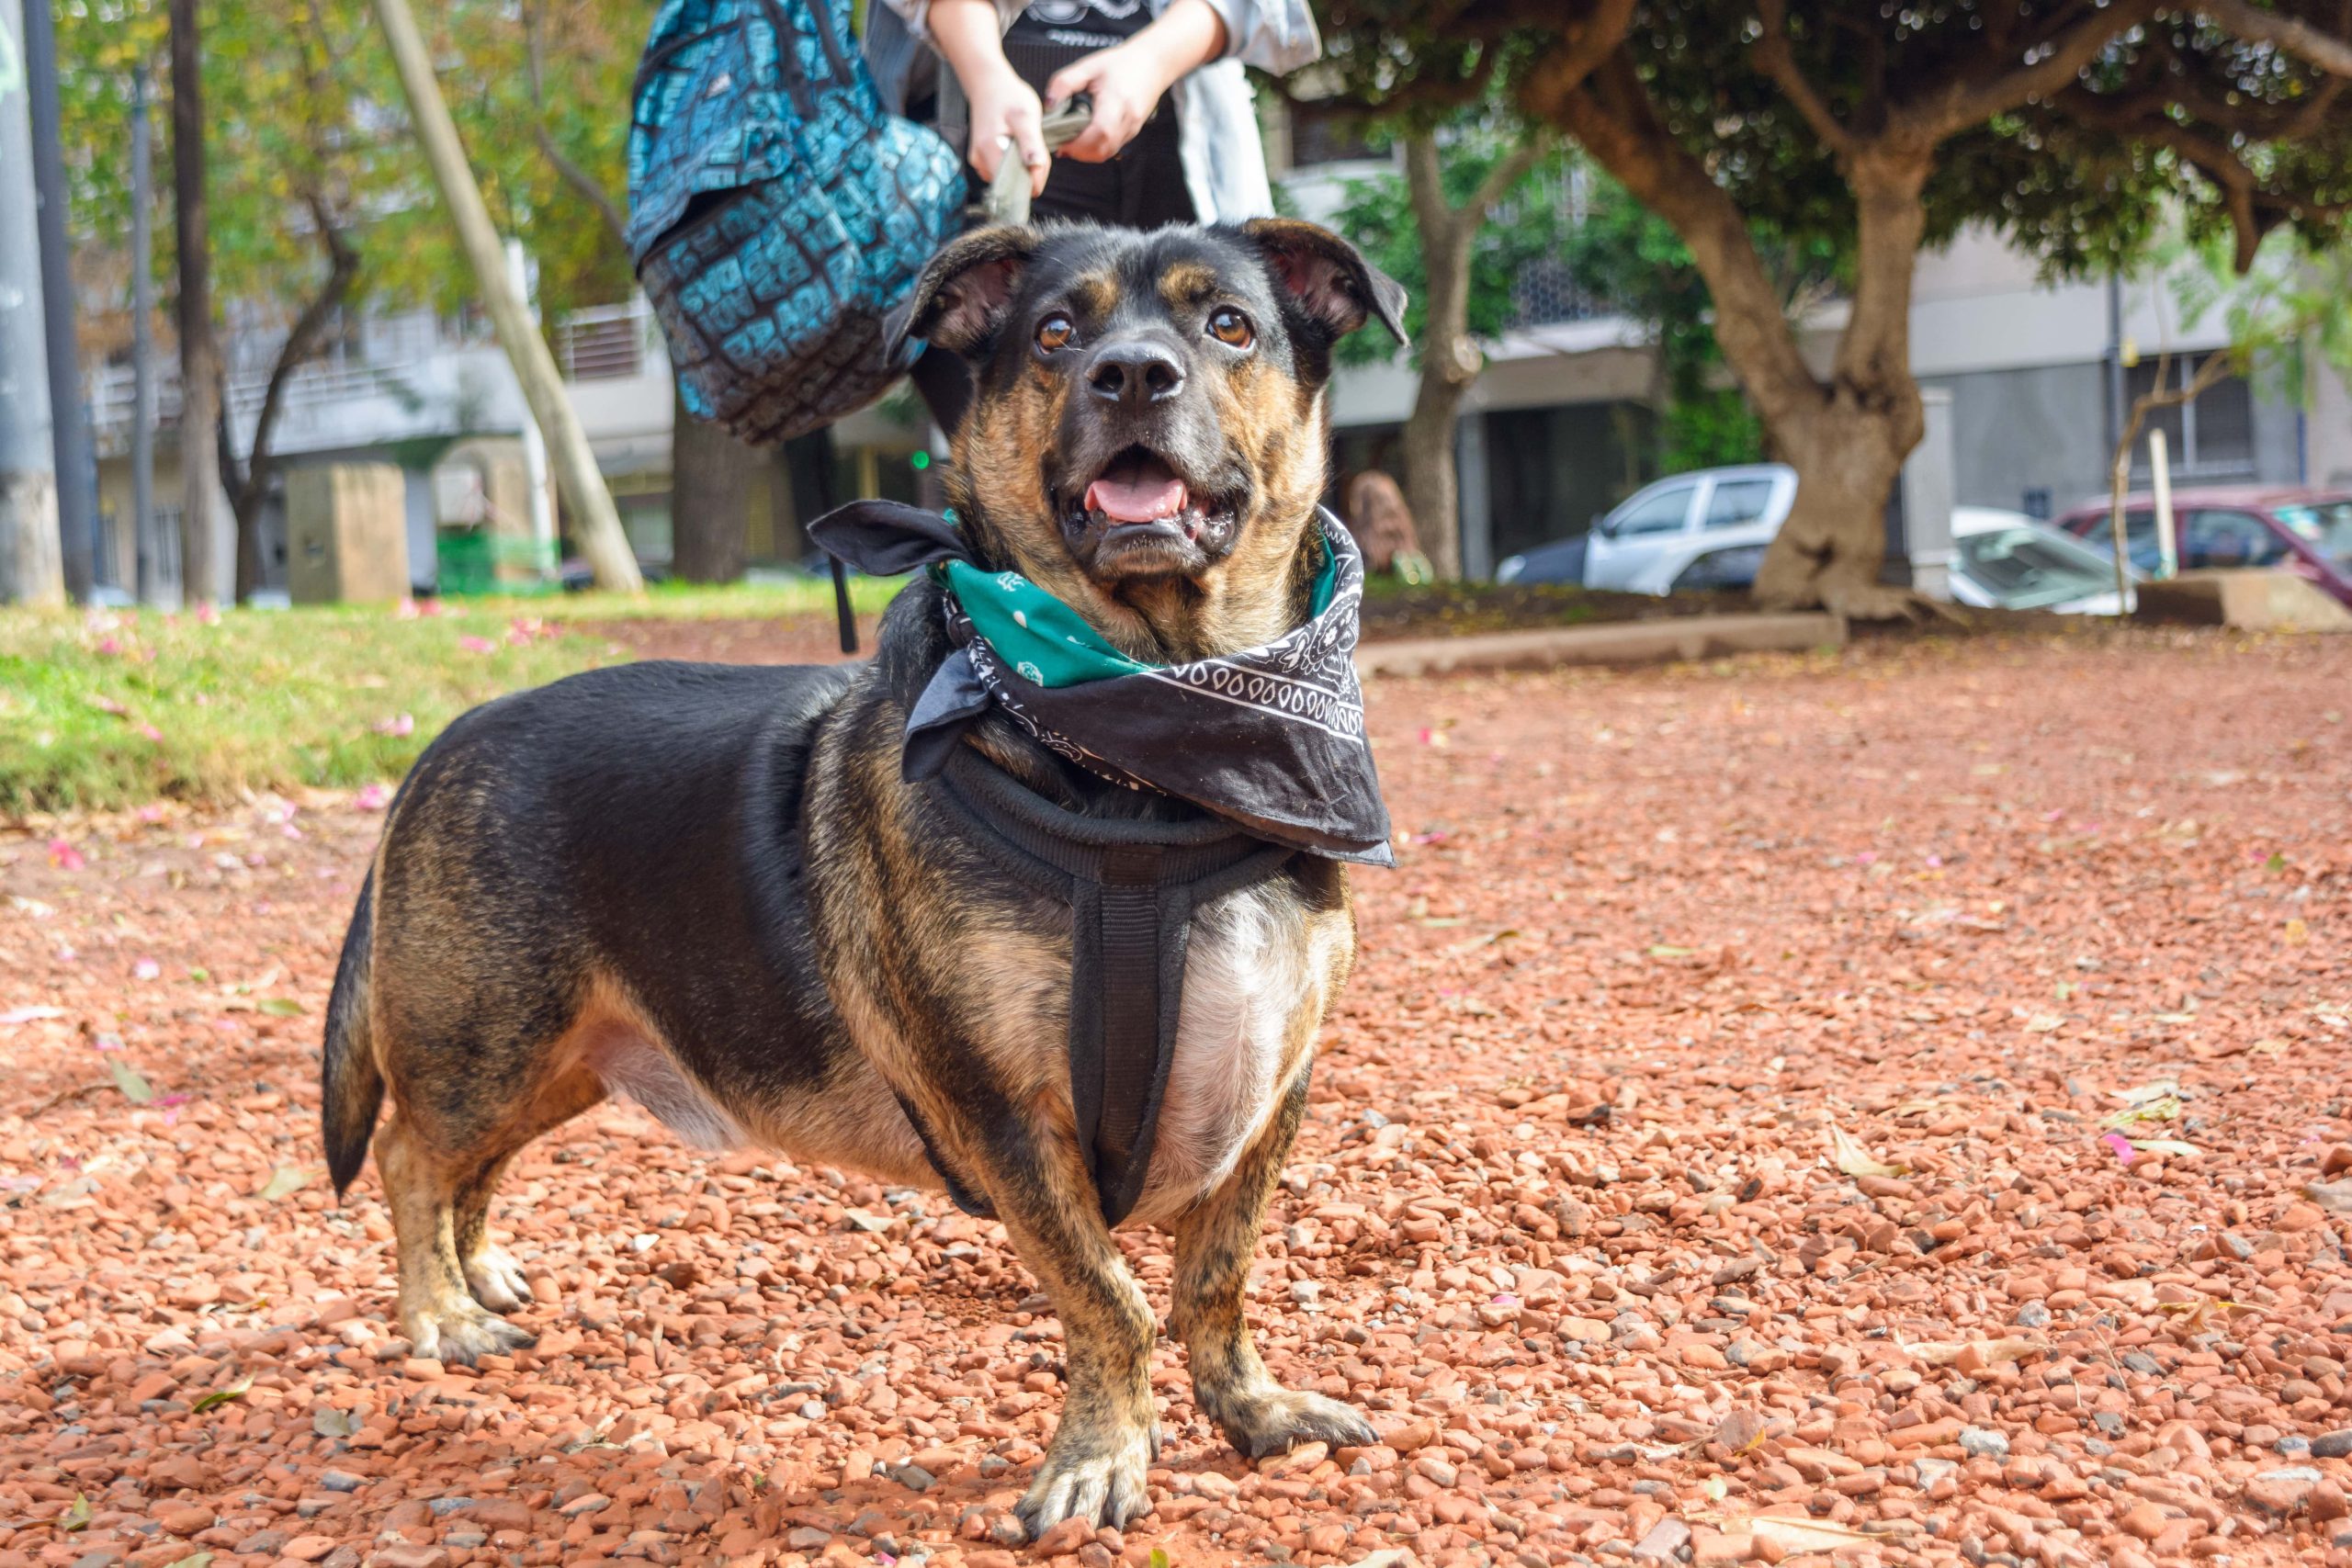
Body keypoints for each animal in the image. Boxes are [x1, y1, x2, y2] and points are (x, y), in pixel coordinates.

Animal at [322, 215, 1401, 1541]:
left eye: (1230, 325)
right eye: (1058, 332)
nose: (1133, 375)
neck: (1156, 739)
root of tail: (448, 737)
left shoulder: (1272, 1086)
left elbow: (1216, 1276)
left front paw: (1249, 1409)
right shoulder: (1000, 1107)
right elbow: (1110, 1295)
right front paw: (1103, 1453)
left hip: (557, 1056)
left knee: (468, 1167)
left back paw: (475, 1271)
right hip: (485, 1037)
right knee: (413, 1157)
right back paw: (437, 1313)